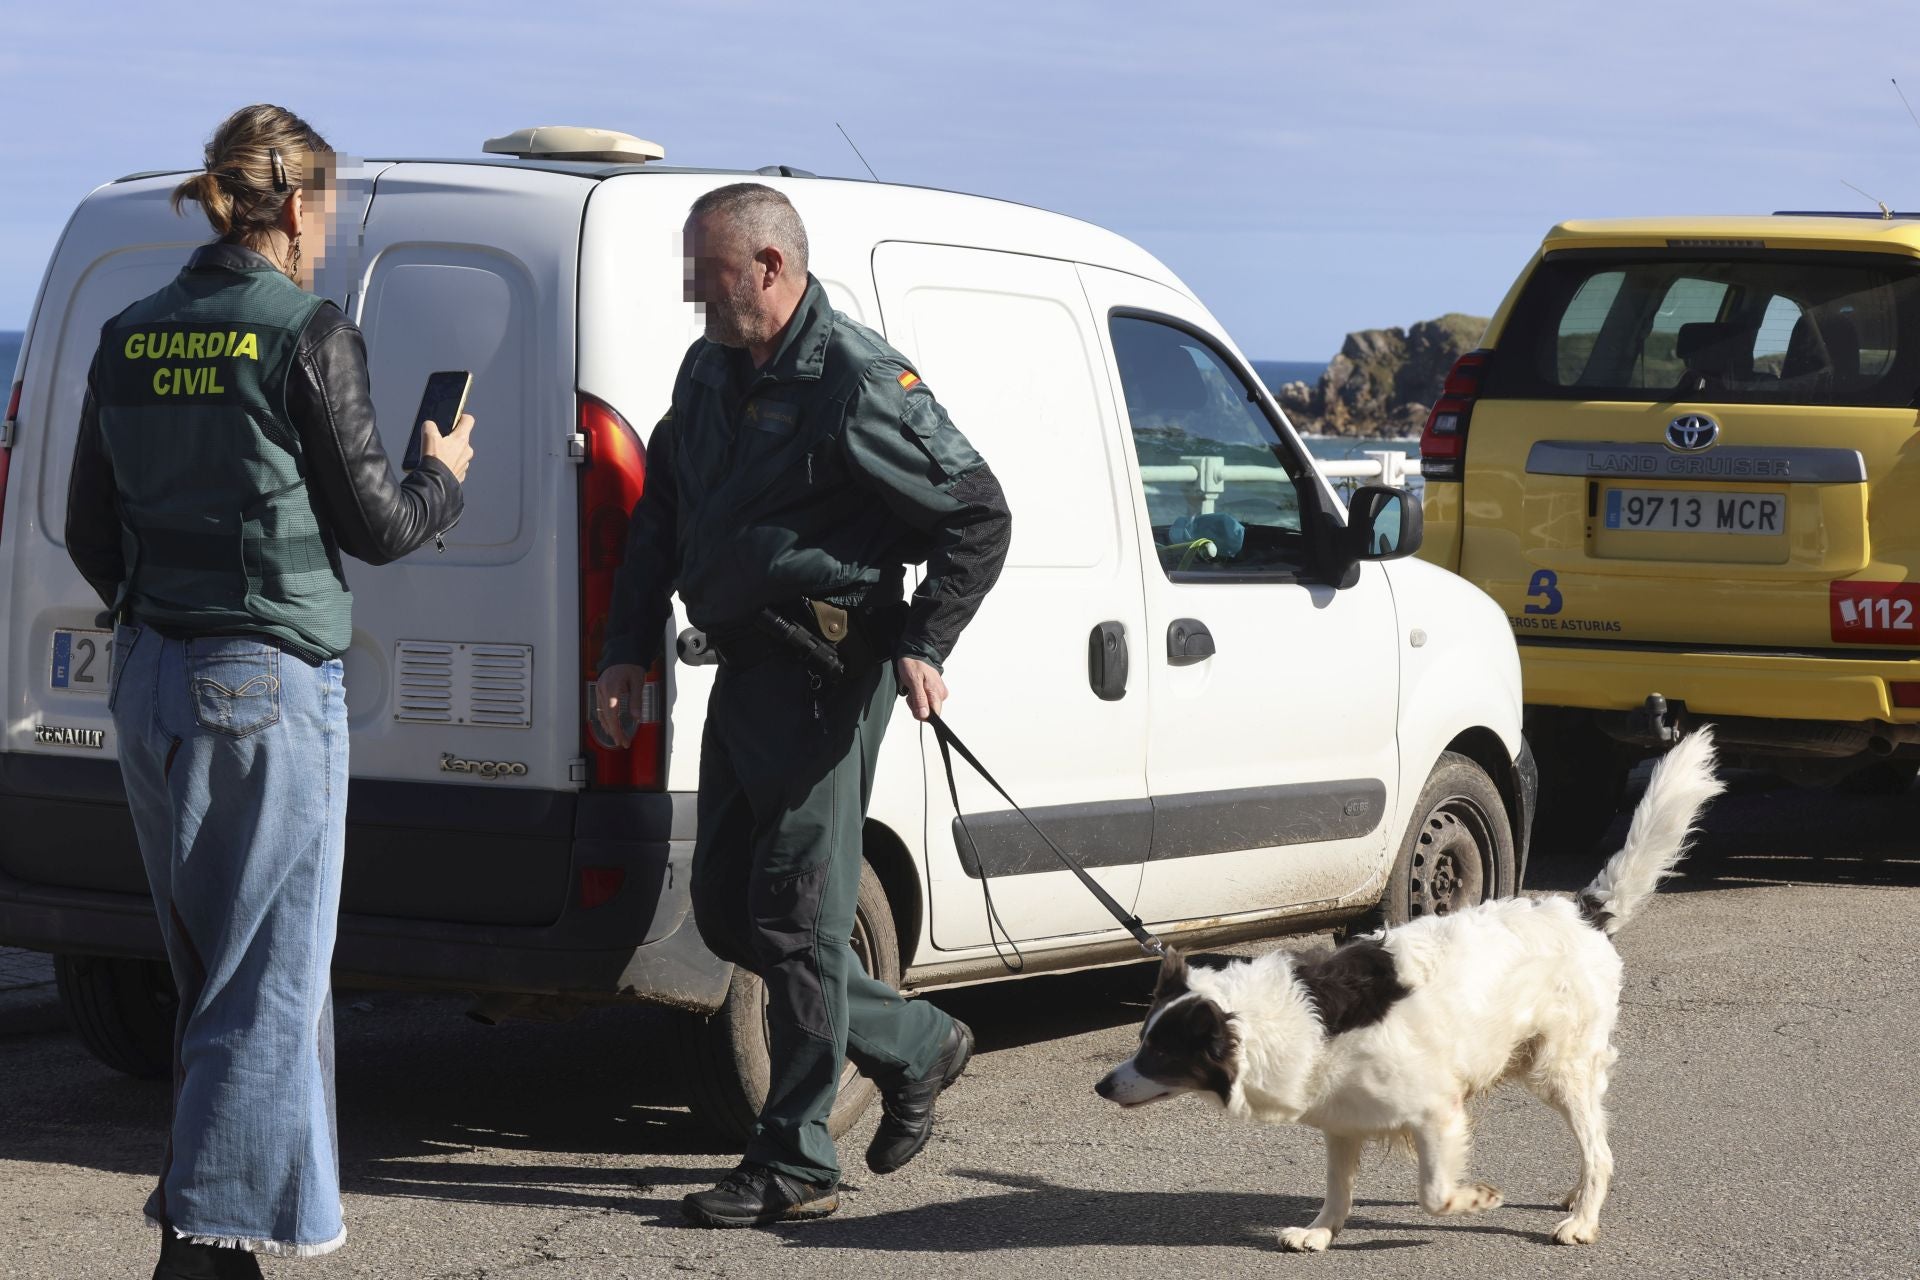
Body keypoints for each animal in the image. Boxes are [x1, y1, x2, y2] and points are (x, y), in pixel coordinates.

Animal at [1098, 729, 1728, 1251]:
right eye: (1143, 1041)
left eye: (1161, 1052)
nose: (1101, 1087)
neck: (1285, 1021)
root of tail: (1581, 911)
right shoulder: (1343, 1122)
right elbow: (1338, 1189)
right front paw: (1321, 1232)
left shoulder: (1436, 1112)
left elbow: (1434, 1195)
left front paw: (1477, 1199)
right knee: (1596, 1140)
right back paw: (1577, 1198)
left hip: (1558, 1070)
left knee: (1600, 1150)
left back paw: (1583, 1219)